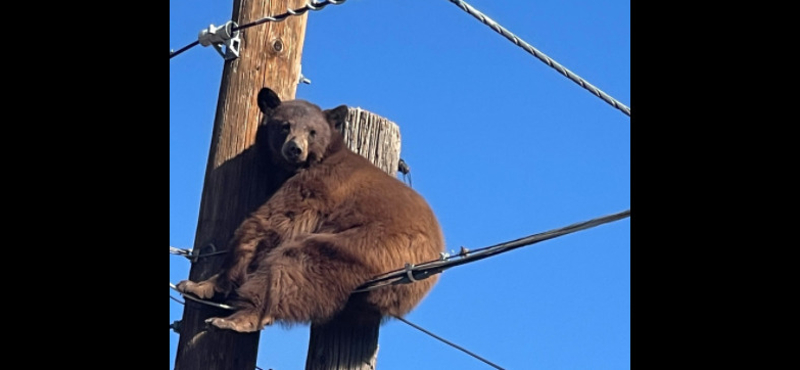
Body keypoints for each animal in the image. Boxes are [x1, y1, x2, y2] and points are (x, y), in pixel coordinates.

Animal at [177, 86, 446, 332]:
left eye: (312, 131)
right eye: (285, 125)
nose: (295, 148)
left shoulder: (316, 186)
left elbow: (272, 222)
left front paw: (200, 285)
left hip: (373, 246)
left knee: (295, 265)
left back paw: (238, 318)